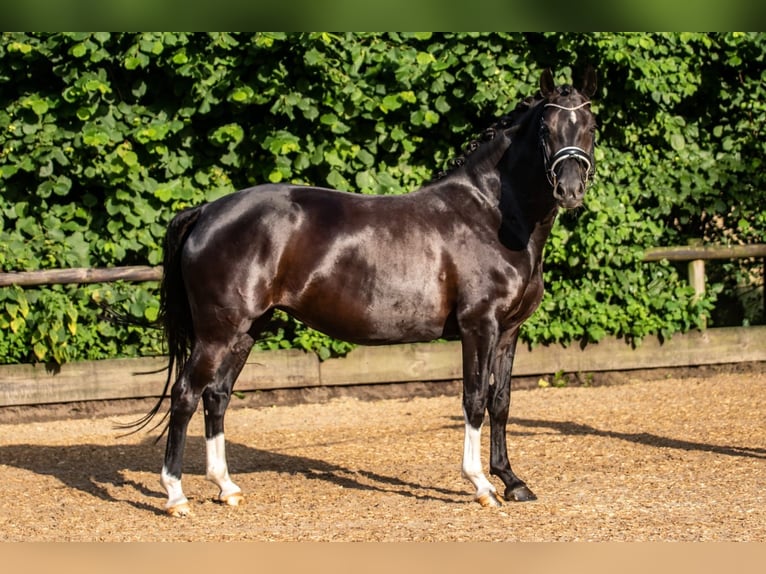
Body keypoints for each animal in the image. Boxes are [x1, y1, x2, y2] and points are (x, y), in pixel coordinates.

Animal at [135, 67, 596, 516]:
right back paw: (176, 495)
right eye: (546, 128)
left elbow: (501, 402)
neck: (490, 216)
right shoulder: (478, 326)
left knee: (217, 396)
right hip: (217, 333)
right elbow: (475, 399)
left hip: (246, 331)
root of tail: (206, 212)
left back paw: (226, 487)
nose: (570, 190)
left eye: (590, 125)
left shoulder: (509, 330)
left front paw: (513, 482)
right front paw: (482, 485)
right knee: (185, 395)